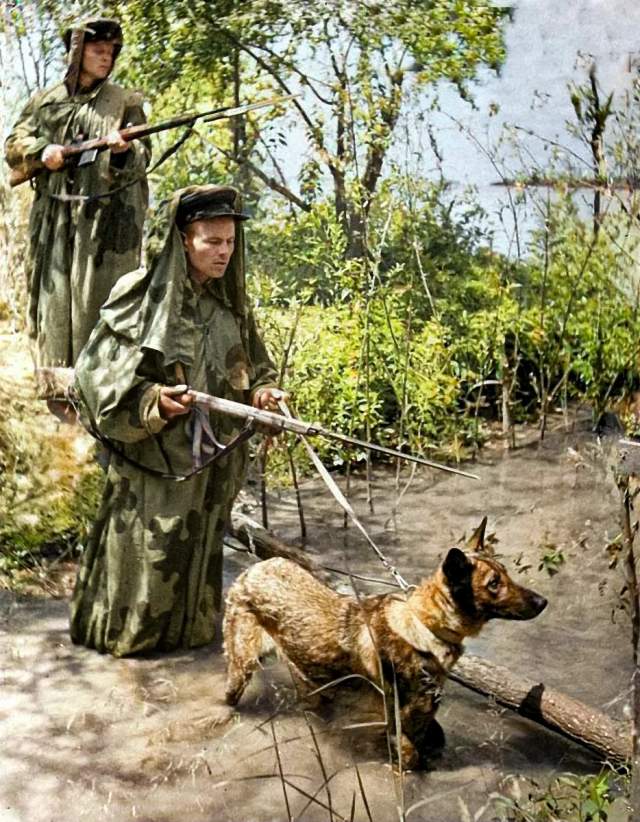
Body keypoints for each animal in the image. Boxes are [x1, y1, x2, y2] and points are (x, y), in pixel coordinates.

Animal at [224, 520, 544, 772]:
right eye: (494, 584)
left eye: (506, 573)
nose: (543, 602)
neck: (424, 624)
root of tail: (256, 567)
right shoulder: (398, 727)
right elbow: (410, 757)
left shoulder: (422, 717)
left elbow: (434, 739)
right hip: (241, 669)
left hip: (311, 678)